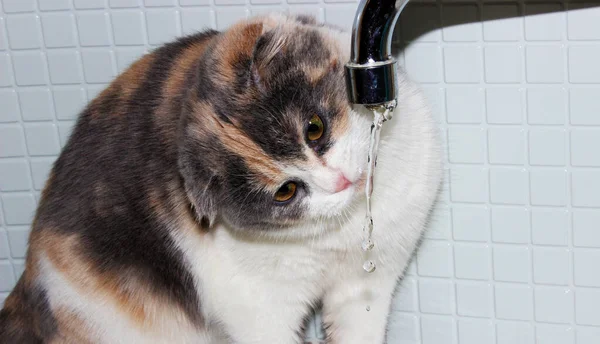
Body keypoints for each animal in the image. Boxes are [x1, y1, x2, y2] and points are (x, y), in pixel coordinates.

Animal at [0, 13, 440, 344]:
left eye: (314, 129)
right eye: (285, 192)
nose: (340, 182)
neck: (346, 229)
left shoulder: (366, 284)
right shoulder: (256, 307)